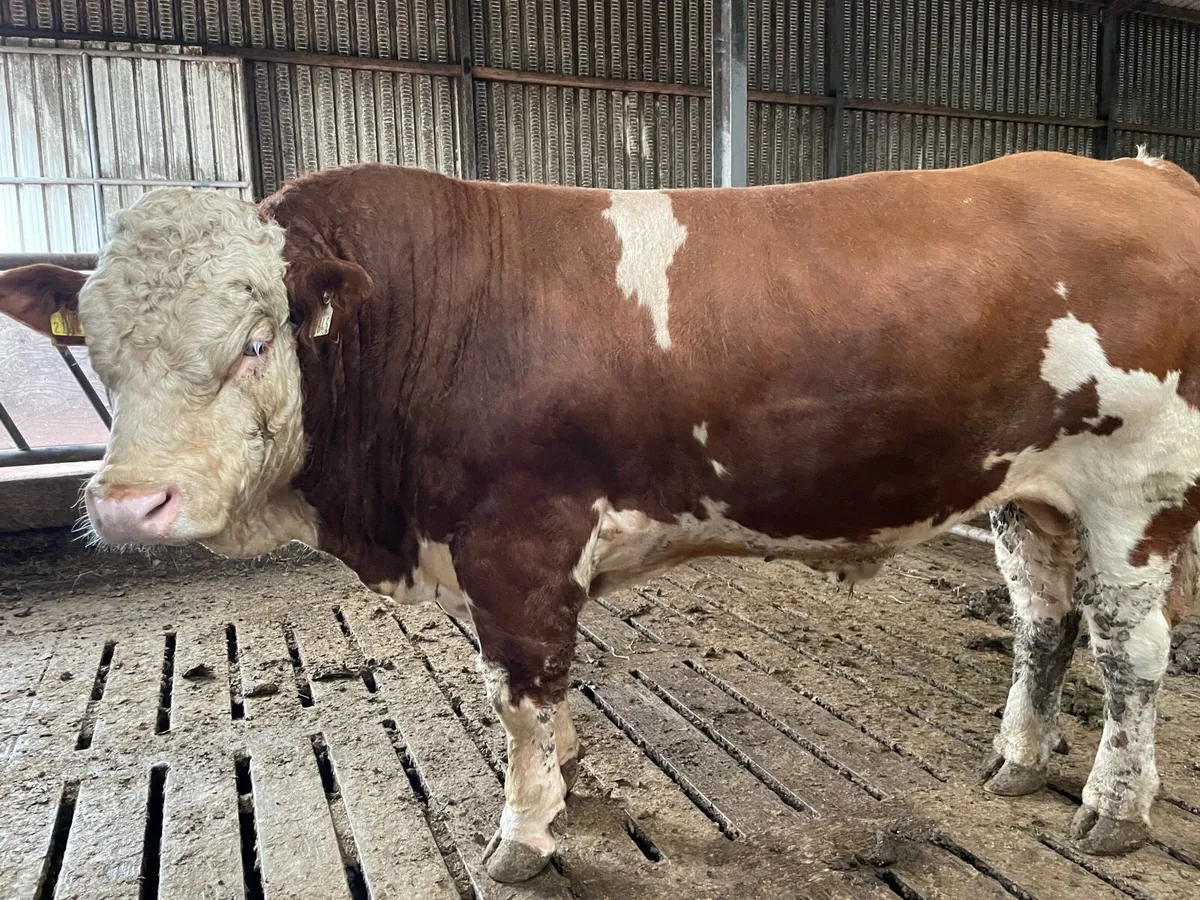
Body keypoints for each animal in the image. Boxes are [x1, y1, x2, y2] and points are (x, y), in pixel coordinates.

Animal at [2, 148, 1198, 882]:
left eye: (256, 342)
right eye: (94, 345)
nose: (130, 504)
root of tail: (1141, 172)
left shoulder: (517, 542)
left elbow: (520, 694)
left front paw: (525, 834)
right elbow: (536, 693)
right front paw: (569, 781)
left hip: (1138, 487)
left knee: (1130, 654)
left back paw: (1116, 809)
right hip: (1029, 497)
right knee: (1042, 624)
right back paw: (1019, 761)